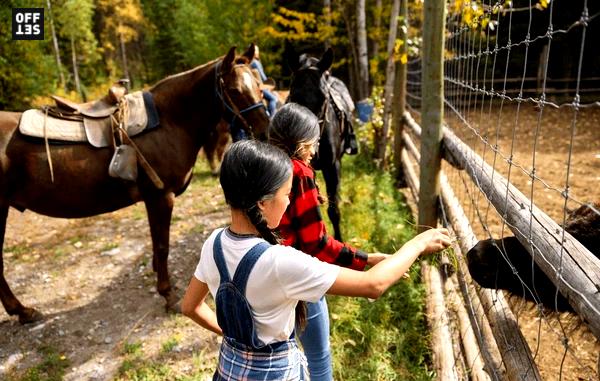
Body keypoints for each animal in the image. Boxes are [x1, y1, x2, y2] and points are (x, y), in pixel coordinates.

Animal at [0, 45, 268, 324]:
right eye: (235, 90)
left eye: (259, 85)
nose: (264, 130)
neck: (170, 120)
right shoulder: (161, 196)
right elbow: (162, 245)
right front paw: (168, 295)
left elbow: (156, 244)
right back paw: (22, 310)